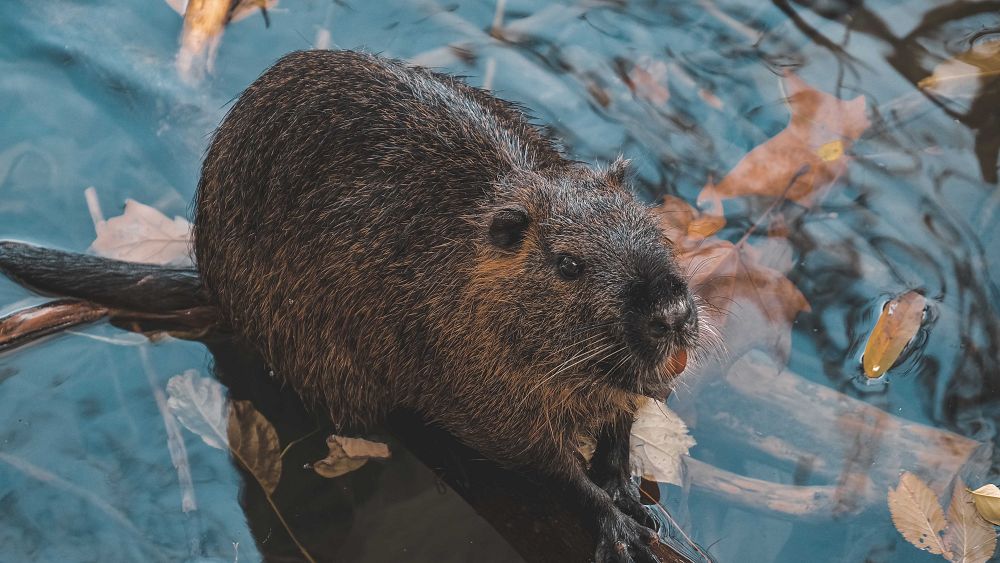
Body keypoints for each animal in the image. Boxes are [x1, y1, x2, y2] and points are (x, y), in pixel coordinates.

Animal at [0, 50, 700, 560]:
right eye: (569, 265)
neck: (461, 263)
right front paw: (615, 518)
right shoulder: (469, 378)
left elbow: (624, 414)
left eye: (646, 221)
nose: (669, 313)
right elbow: (535, 457)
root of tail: (207, 282)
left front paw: (626, 484)